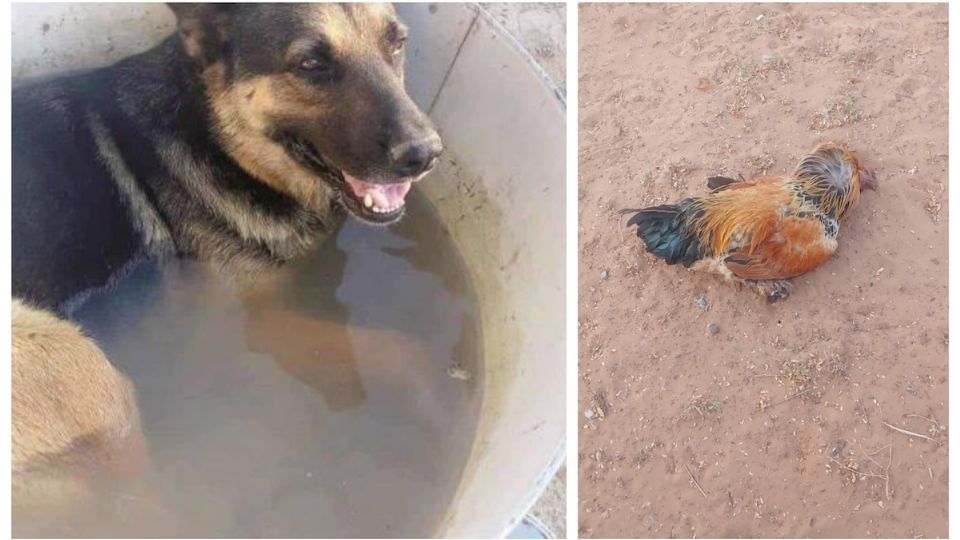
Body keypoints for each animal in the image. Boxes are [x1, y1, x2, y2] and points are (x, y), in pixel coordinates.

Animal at [10, 2, 442, 520]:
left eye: (396, 43)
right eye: (311, 64)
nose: (425, 154)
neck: (217, 140)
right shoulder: (248, 325)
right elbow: (400, 348)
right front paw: (433, 398)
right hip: (82, 374)